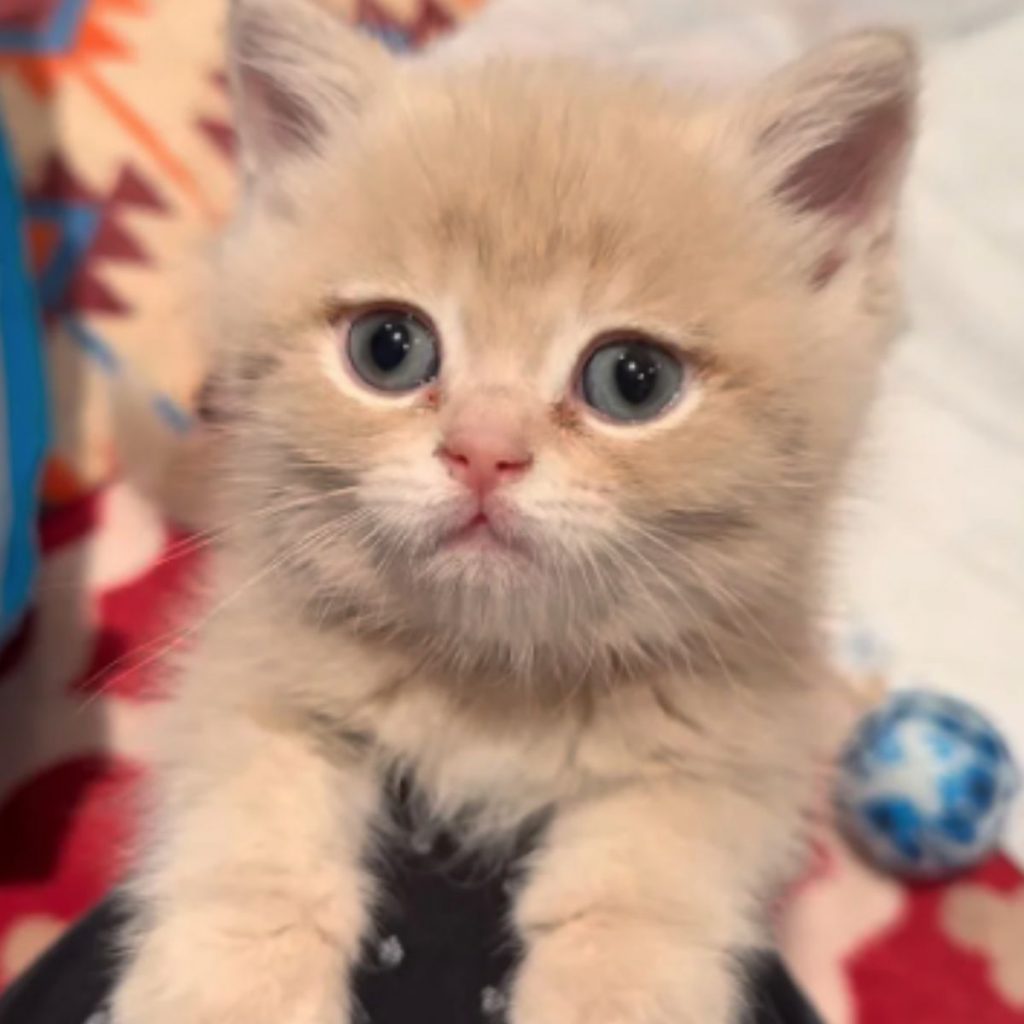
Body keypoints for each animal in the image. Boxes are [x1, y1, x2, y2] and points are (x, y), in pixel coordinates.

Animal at [112, 2, 921, 1024]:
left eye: (633, 379)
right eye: (388, 348)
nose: (484, 452)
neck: (495, 685)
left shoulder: (735, 739)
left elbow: (638, 899)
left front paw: (609, 985)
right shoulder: (253, 655)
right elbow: (258, 841)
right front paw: (235, 989)